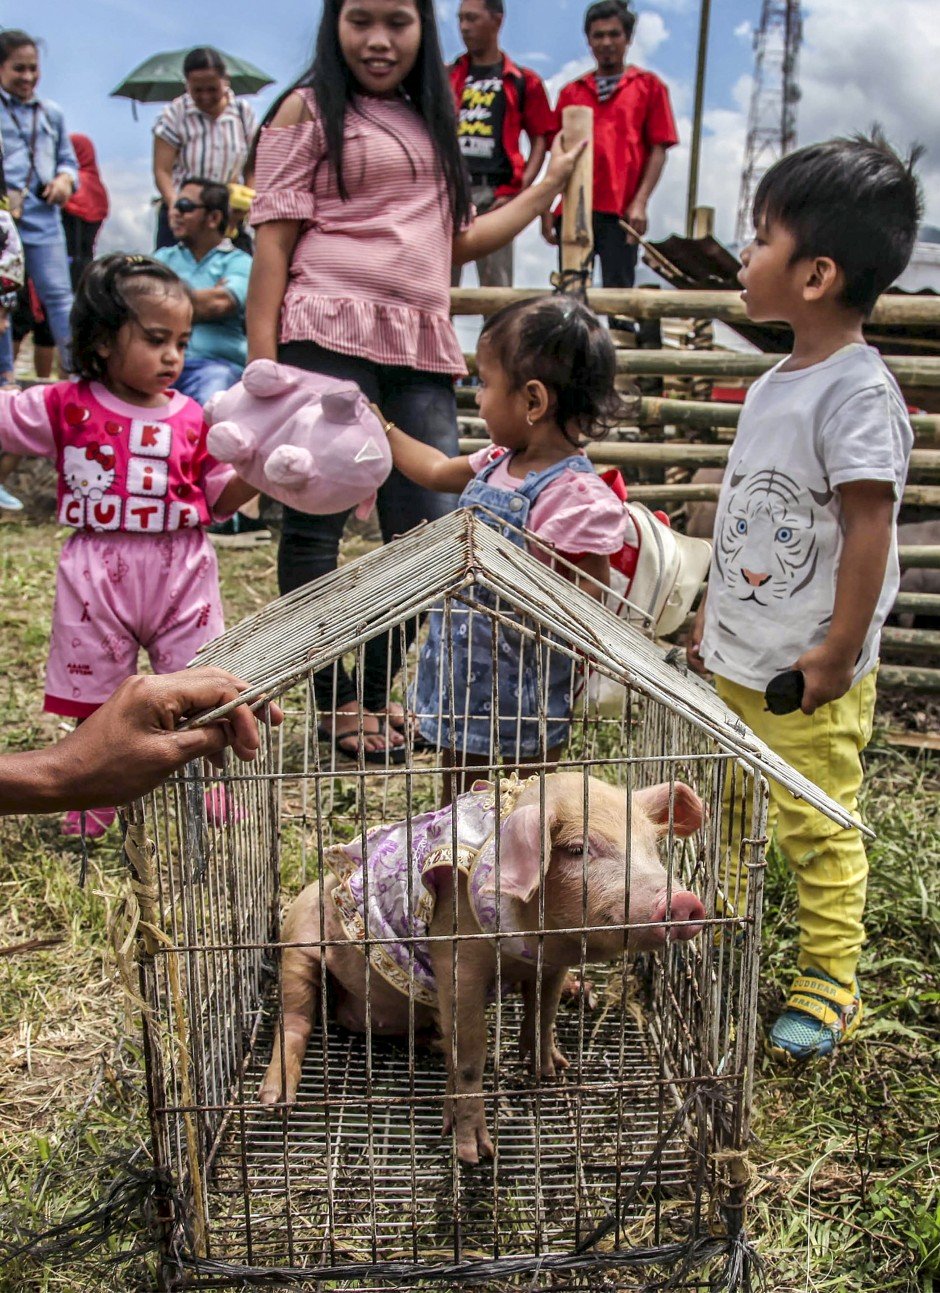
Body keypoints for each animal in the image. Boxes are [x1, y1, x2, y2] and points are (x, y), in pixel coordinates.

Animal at [205, 359, 393, 519]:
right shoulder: (308, 381)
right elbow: (283, 377)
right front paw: (259, 371)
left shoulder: (310, 490)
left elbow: (294, 474)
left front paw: (283, 462)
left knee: (241, 441)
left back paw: (225, 436)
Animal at [257, 770, 703, 1168]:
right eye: (578, 849)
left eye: (653, 846)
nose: (684, 901)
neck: (531, 942)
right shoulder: (457, 959)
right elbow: (473, 1051)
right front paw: (475, 1153)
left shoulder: (552, 963)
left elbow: (544, 1012)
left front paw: (552, 1071)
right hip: (299, 941)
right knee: (294, 1019)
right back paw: (276, 1102)